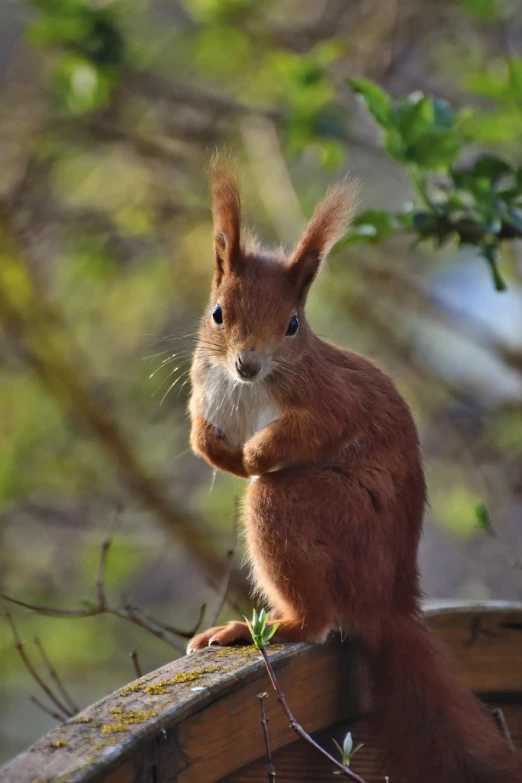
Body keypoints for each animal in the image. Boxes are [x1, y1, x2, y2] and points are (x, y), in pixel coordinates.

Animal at [185, 155, 516, 783]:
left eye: (292, 324)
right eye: (217, 314)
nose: (247, 364)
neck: (251, 391)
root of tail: (389, 602)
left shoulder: (332, 402)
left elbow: (310, 433)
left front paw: (255, 456)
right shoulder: (206, 389)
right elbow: (201, 437)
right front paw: (216, 450)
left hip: (322, 514)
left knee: (312, 610)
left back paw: (260, 626)